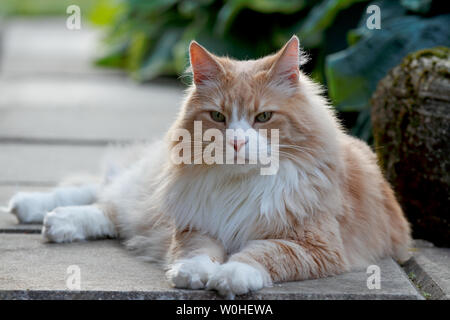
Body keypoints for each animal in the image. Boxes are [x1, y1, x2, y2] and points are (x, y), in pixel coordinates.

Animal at [5, 36, 412, 298]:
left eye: (263, 117)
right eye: (218, 116)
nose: (236, 142)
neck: (242, 184)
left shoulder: (315, 246)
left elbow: (264, 253)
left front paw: (230, 275)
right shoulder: (194, 223)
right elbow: (197, 251)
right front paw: (193, 273)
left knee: (109, 208)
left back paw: (53, 220)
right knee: (106, 195)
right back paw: (39, 210)